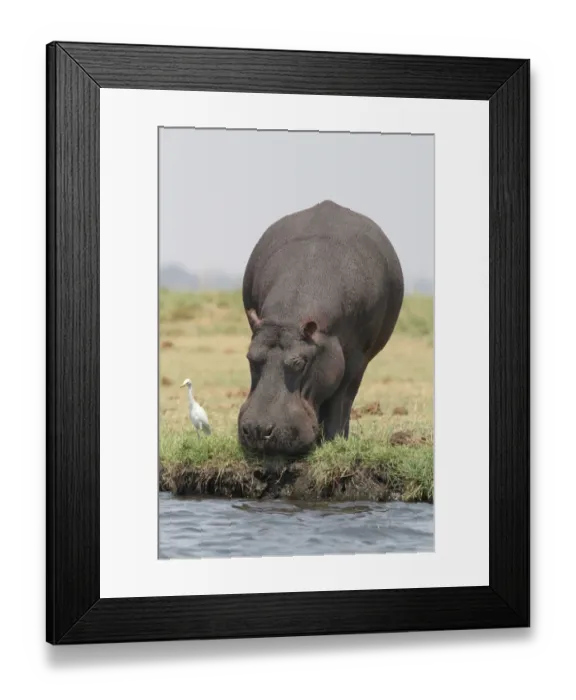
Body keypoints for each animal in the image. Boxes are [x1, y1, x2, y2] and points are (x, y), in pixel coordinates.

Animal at [237, 199, 404, 457]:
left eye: (300, 363)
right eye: (250, 357)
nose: (257, 430)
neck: (289, 316)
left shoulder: (354, 358)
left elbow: (341, 399)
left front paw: (334, 441)